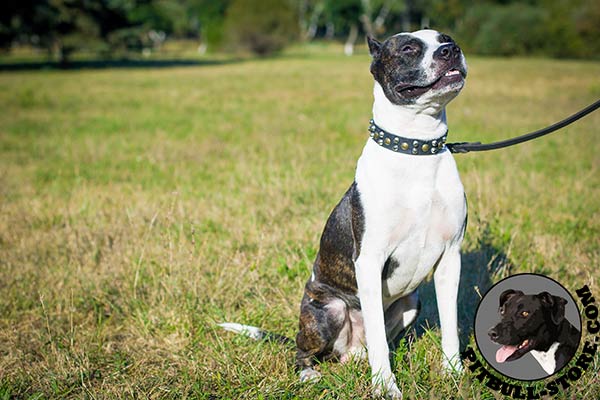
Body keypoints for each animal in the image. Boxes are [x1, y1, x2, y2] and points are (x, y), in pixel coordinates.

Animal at [220, 29, 468, 398]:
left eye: (445, 38)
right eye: (409, 48)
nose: (451, 50)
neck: (417, 151)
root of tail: (347, 352)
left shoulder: (451, 257)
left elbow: (450, 325)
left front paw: (453, 373)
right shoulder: (369, 260)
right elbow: (378, 338)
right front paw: (385, 386)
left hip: (411, 303)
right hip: (329, 311)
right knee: (302, 350)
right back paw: (308, 373)